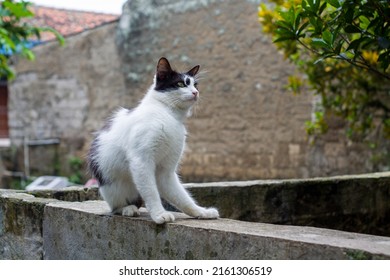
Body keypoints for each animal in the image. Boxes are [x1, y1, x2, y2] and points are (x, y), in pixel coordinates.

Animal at [87, 58, 219, 224]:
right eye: (181, 84)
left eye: (195, 85)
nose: (196, 92)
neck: (168, 114)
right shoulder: (141, 160)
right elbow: (151, 191)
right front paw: (159, 214)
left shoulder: (166, 170)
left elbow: (181, 196)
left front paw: (201, 212)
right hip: (111, 184)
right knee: (116, 206)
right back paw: (128, 209)